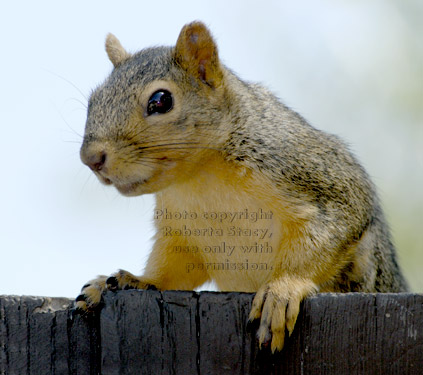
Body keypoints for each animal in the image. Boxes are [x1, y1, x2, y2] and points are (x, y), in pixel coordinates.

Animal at [78, 22, 410, 354]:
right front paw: (134, 280)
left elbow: (333, 228)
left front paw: (282, 290)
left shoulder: (319, 181)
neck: (199, 178)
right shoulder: (181, 232)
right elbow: (174, 268)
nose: (90, 158)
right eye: (93, 99)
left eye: (160, 101)